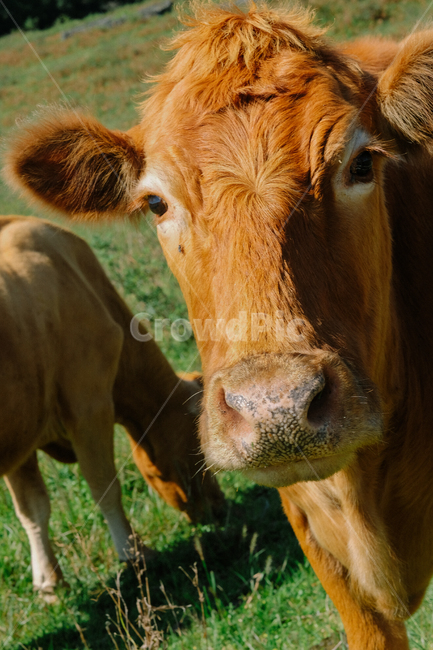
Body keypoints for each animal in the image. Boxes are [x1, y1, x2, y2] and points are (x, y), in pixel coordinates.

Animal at [0, 215, 223, 601]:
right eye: (199, 452)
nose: (221, 508)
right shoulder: (88, 405)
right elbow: (104, 485)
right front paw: (134, 553)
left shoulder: (22, 434)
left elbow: (32, 508)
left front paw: (49, 583)